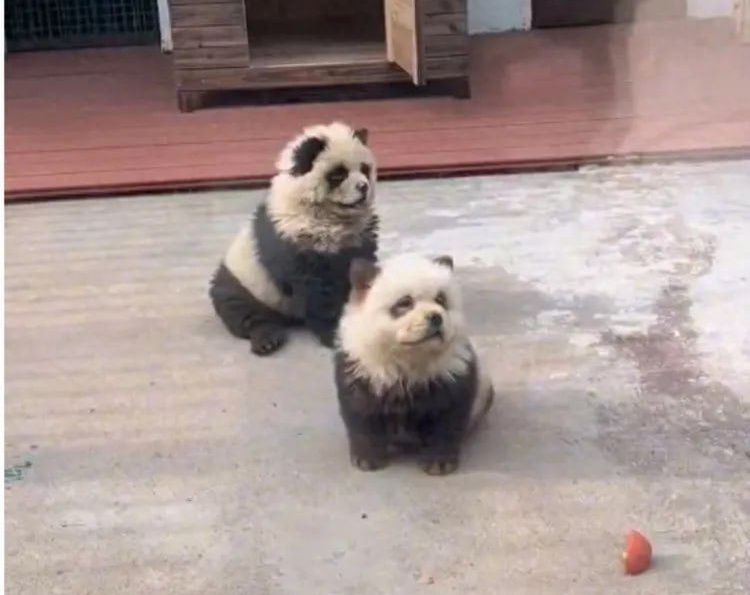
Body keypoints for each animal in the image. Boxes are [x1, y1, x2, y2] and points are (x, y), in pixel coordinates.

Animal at [210, 121, 376, 354]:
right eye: (338, 175)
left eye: (365, 169)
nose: (363, 187)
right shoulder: (294, 237)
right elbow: (316, 290)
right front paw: (333, 332)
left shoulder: (359, 237)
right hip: (244, 280)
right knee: (241, 309)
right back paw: (266, 339)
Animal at [334, 254, 494, 478]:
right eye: (405, 302)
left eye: (441, 299)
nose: (436, 317)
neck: (409, 357)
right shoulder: (362, 368)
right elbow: (361, 413)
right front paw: (367, 459)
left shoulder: (452, 372)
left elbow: (447, 418)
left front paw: (439, 463)